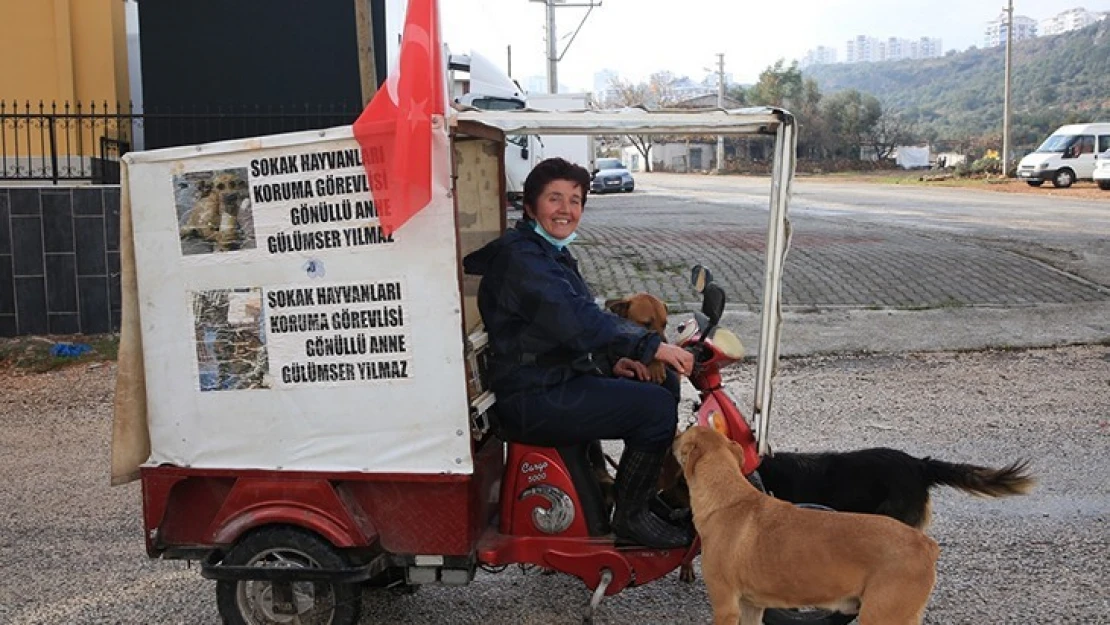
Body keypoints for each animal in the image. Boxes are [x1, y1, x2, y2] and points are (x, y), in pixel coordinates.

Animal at [670, 428, 941, 625]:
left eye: (687, 430)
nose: (673, 435)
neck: (727, 497)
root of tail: (926, 544)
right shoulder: (751, 606)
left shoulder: (726, 606)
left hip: (880, 617)